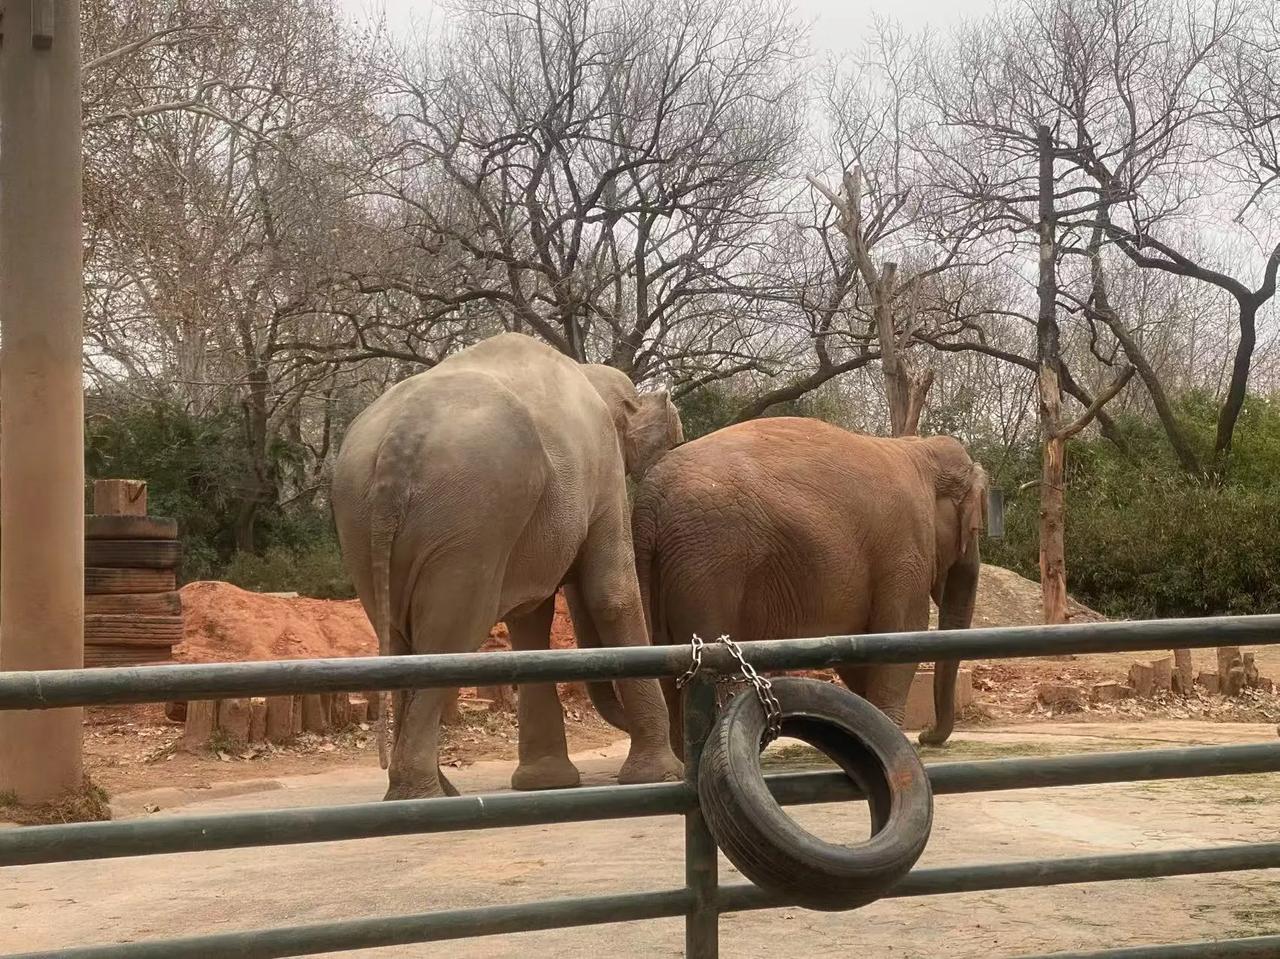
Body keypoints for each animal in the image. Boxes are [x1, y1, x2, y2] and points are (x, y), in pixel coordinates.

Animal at [335, 332, 686, 798]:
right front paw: (660, 776)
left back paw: (433, 792)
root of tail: (401, 437)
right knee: (452, 632)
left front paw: (544, 785)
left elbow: (529, 619)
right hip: (471, 518)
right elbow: (611, 594)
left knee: (396, 635)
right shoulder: (606, 473)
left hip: (361, 519)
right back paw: (423, 794)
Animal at [586, 414, 983, 752]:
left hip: (660, 565)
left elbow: (862, 650)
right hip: (710, 566)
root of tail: (649, 499)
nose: (928, 737)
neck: (921, 451)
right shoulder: (906, 547)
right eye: (975, 528)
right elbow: (899, 636)